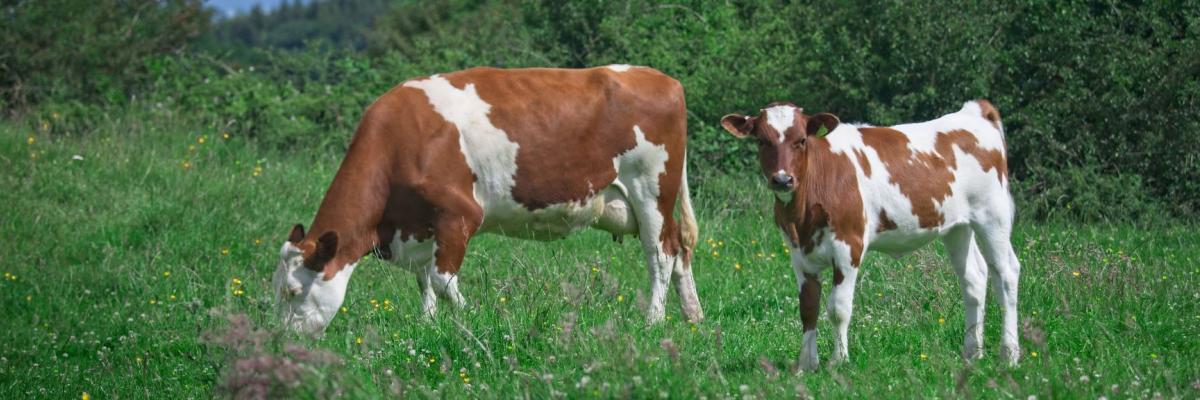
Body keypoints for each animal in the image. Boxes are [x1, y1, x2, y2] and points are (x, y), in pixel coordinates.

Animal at [272, 65, 700, 333]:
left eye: (292, 292)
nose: (281, 341)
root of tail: (663, 79)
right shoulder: (419, 226)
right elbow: (424, 280)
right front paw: (428, 325)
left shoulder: (457, 214)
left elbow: (442, 280)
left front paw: (473, 319)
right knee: (680, 247)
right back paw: (693, 316)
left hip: (651, 188)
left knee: (660, 254)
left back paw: (653, 321)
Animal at [720, 100, 1022, 369]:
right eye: (762, 141)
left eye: (802, 140)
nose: (783, 179)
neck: (802, 214)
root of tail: (973, 111)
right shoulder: (798, 253)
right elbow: (808, 307)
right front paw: (806, 363)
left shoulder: (848, 246)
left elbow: (838, 307)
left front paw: (839, 361)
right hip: (957, 226)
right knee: (974, 278)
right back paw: (972, 352)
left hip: (992, 216)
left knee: (1006, 273)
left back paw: (1009, 354)